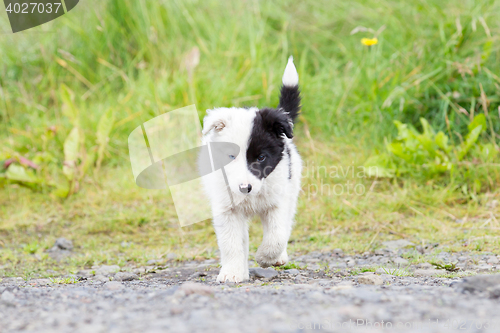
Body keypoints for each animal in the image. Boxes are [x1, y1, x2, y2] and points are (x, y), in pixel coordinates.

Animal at [202, 56, 300, 280]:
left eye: (261, 157)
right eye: (230, 156)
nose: (244, 188)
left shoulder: (277, 202)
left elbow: (277, 235)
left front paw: (265, 257)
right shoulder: (226, 209)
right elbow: (231, 243)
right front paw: (232, 273)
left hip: (292, 188)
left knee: (287, 224)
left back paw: (279, 257)